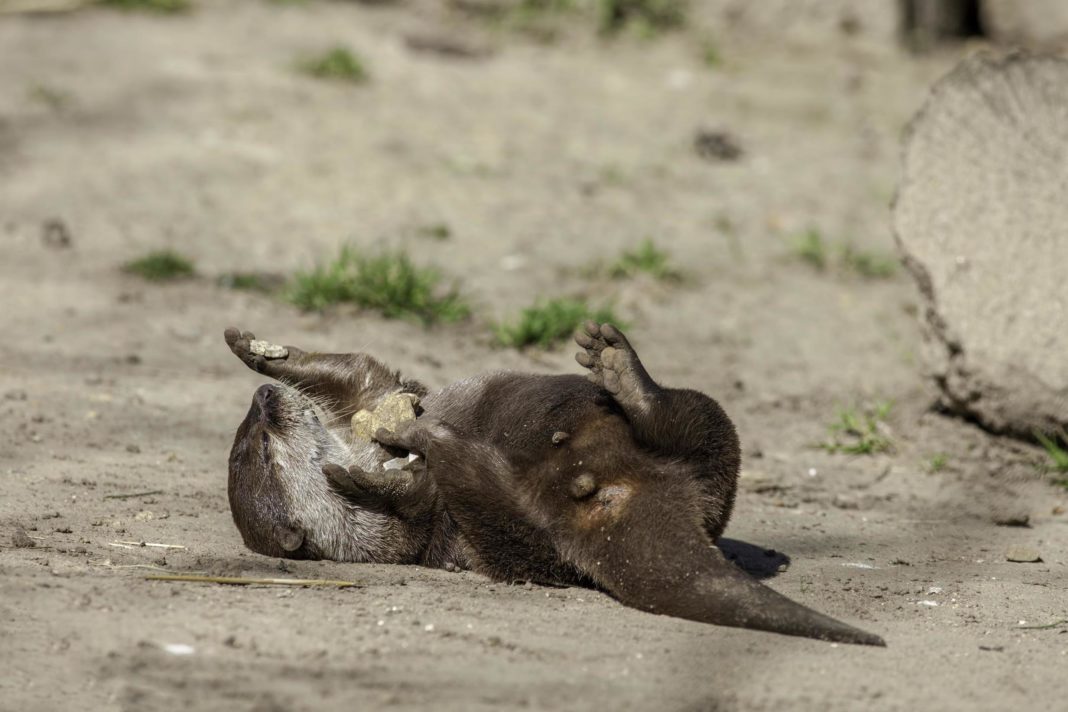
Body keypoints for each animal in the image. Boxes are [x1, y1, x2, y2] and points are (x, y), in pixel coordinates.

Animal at [224, 324, 884, 646]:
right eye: (263, 447)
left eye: (252, 431)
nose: (263, 402)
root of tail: (607, 495)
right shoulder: (393, 537)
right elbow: (410, 515)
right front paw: (369, 479)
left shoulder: (378, 392)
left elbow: (359, 371)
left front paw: (259, 351)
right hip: (520, 545)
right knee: (492, 500)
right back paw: (443, 444)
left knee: (685, 419)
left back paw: (619, 370)